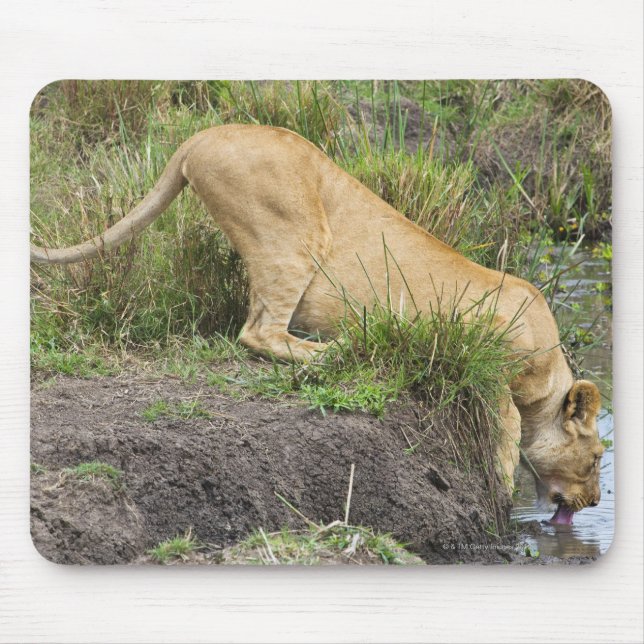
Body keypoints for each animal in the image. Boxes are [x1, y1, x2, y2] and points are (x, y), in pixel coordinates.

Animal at [31, 124, 605, 523]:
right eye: (598, 457)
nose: (598, 502)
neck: (547, 372)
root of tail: (202, 134)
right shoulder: (490, 371)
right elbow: (506, 429)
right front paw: (500, 490)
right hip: (292, 235)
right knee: (258, 332)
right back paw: (340, 350)